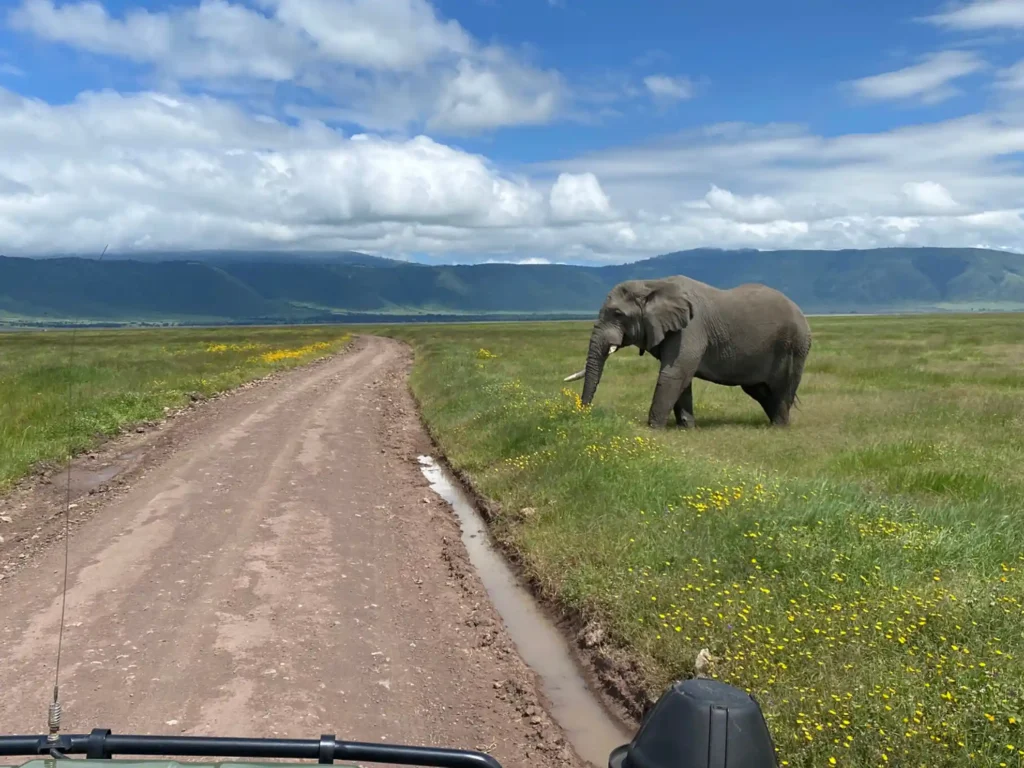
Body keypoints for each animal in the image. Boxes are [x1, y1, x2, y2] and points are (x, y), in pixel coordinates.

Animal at [562, 276, 812, 429]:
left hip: (794, 346)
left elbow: (674, 373)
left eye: (617, 314)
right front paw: (687, 427)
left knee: (782, 388)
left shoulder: (691, 328)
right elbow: (682, 378)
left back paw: (779, 426)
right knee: (759, 390)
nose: (584, 415)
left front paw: (653, 429)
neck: (652, 284)